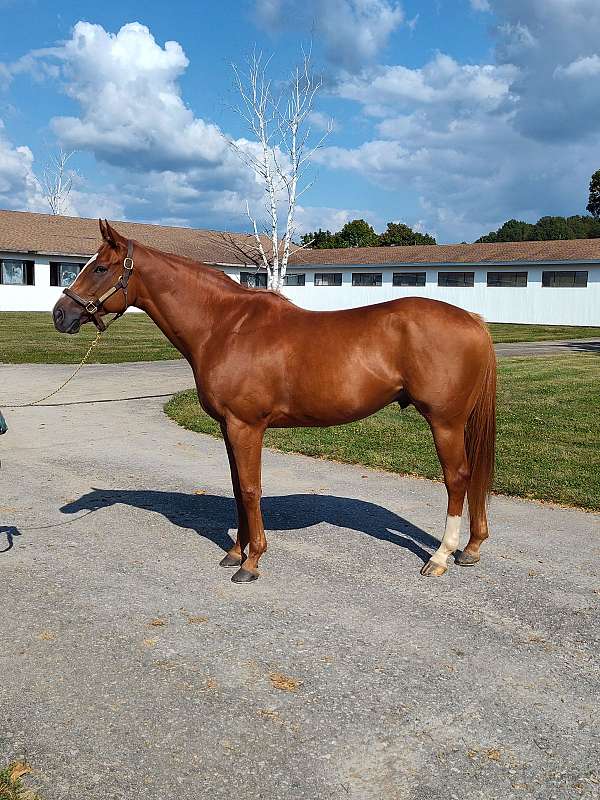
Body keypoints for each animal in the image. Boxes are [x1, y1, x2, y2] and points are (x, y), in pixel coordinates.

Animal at [53, 220, 496, 584]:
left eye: (101, 268)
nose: (60, 314)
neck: (224, 326)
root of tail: (473, 319)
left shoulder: (246, 426)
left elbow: (250, 489)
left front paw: (252, 563)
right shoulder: (228, 427)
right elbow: (236, 488)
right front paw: (234, 553)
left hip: (445, 422)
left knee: (457, 478)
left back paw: (440, 557)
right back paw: (470, 549)